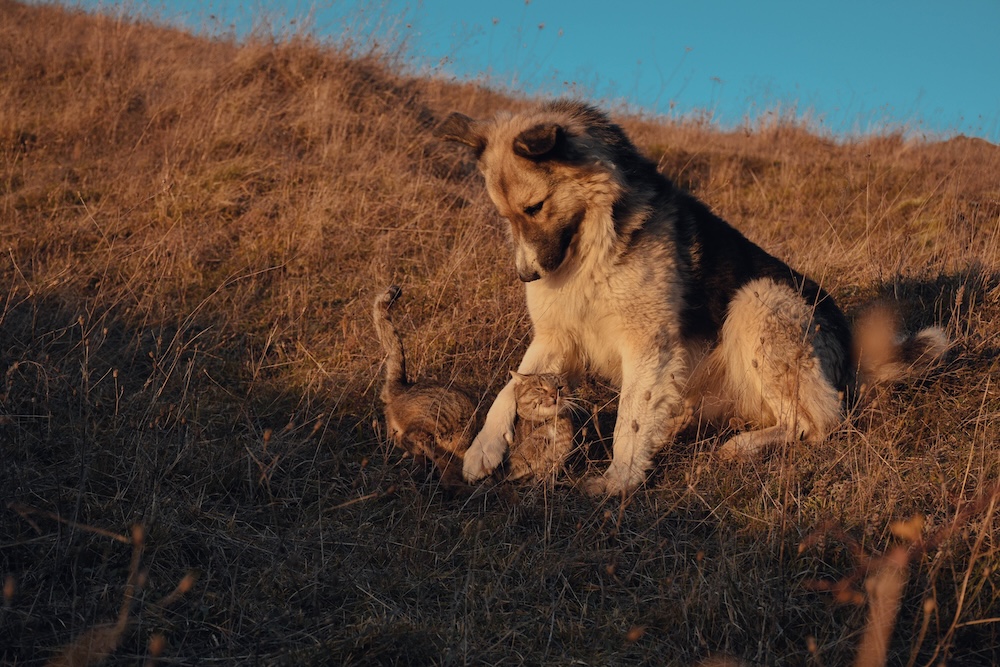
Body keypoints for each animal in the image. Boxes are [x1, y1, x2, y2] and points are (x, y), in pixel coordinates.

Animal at [436, 100, 944, 496]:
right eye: (505, 215)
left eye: (535, 207)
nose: (526, 274)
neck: (593, 242)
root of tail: (851, 351)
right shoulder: (557, 337)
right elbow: (511, 387)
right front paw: (482, 449)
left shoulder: (648, 344)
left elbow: (629, 419)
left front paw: (619, 480)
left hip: (758, 301)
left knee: (818, 421)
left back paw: (744, 446)